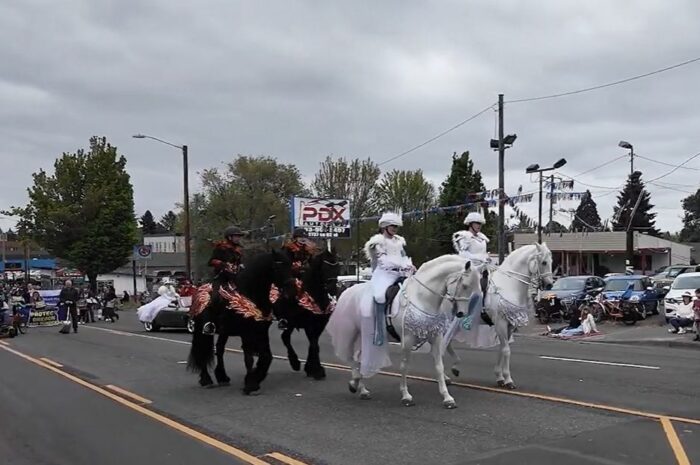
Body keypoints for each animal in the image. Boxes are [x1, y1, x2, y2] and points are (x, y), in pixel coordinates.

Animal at [187, 249, 296, 395]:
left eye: (290, 265)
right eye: (277, 267)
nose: (292, 291)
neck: (251, 294)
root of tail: (199, 290)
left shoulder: (261, 331)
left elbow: (267, 356)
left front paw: (256, 378)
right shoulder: (246, 333)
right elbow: (249, 359)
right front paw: (250, 385)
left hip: (224, 332)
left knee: (219, 349)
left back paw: (222, 377)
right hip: (202, 330)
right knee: (203, 350)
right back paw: (206, 380)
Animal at [274, 248, 340, 380]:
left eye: (337, 268)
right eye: (324, 268)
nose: (333, 289)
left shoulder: (319, 325)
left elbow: (313, 344)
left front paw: (311, 368)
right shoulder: (309, 325)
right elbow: (314, 345)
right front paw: (317, 370)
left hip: (290, 324)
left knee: (285, 337)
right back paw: (294, 362)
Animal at [327, 255, 482, 408]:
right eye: (465, 285)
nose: (461, 313)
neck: (421, 298)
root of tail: (347, 291)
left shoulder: (435, 338)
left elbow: (439, 367)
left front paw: (447, 398)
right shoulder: (407, 340)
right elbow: (404, 366)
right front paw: (406, 396)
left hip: (364, 336)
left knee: (359, 359)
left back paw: (361, 388)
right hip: (351, 333)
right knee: (350, 358)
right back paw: (356, 382)